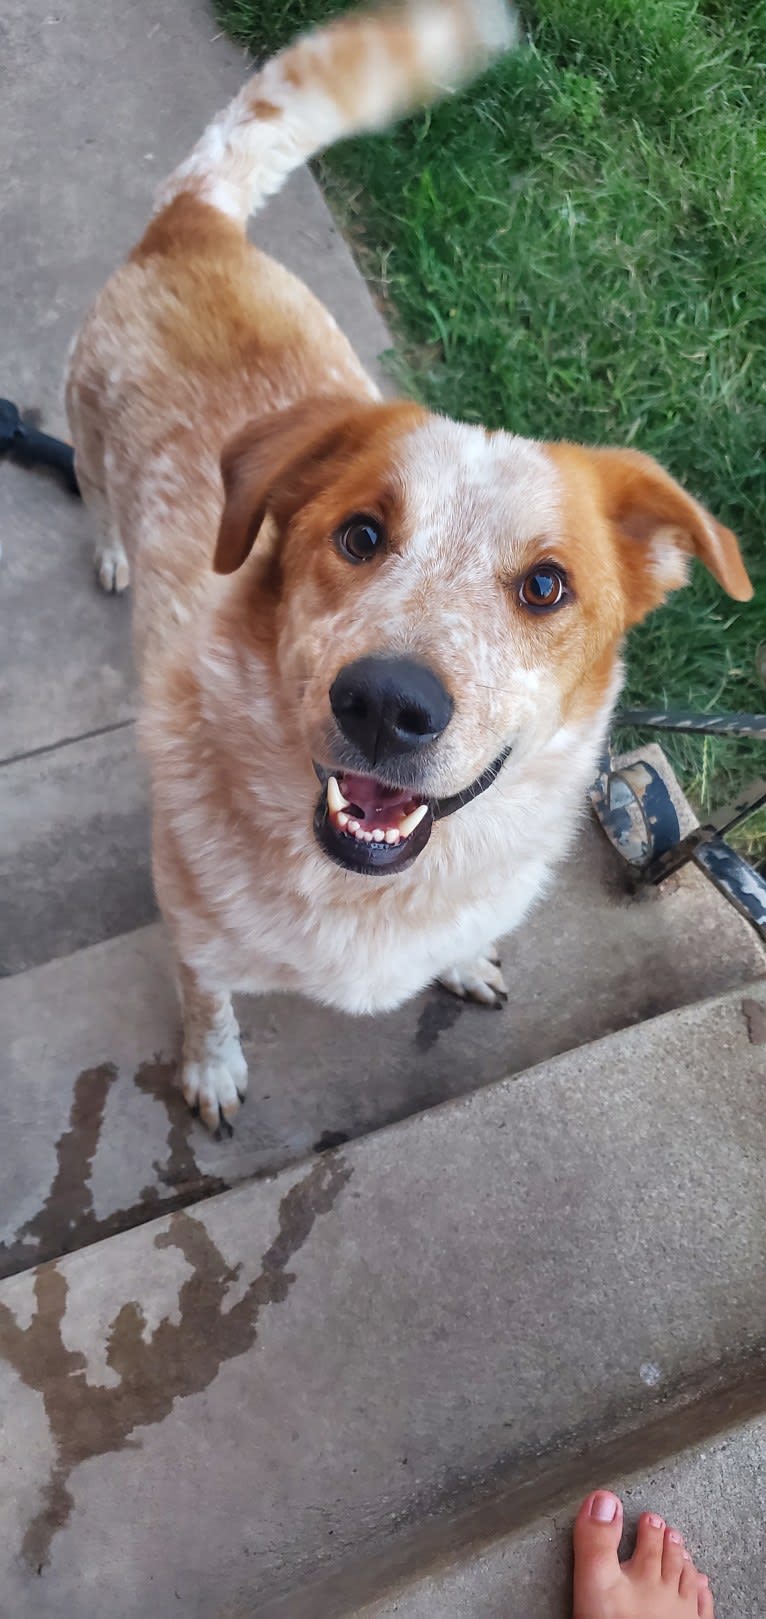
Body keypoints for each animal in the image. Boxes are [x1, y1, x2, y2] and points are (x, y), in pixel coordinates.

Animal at [65, 0, 744, 1126]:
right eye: (359, 535)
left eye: (546, 585)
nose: (386, 703)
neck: (366, 892)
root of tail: (198, 222)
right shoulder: (192, 930)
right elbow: (207, 1007)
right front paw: (211, 1071)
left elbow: (463, 939)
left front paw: (462, 961)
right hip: (85, 422)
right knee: (92, 487)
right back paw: (111, 550)